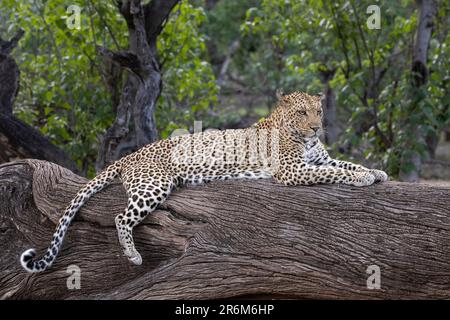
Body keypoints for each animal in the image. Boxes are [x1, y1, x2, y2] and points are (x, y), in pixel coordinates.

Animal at [20, 90, 386, 272]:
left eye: (318, 112)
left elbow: (344, 162)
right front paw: (364, 177)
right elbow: (336, 172)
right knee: (121, 217)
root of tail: (131, 154)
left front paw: (376, 171)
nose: (315, 128)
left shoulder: (316, 160)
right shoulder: (292, 170)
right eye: (302, 113)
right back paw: (134, 256)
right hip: (154, 184)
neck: (303, 139)